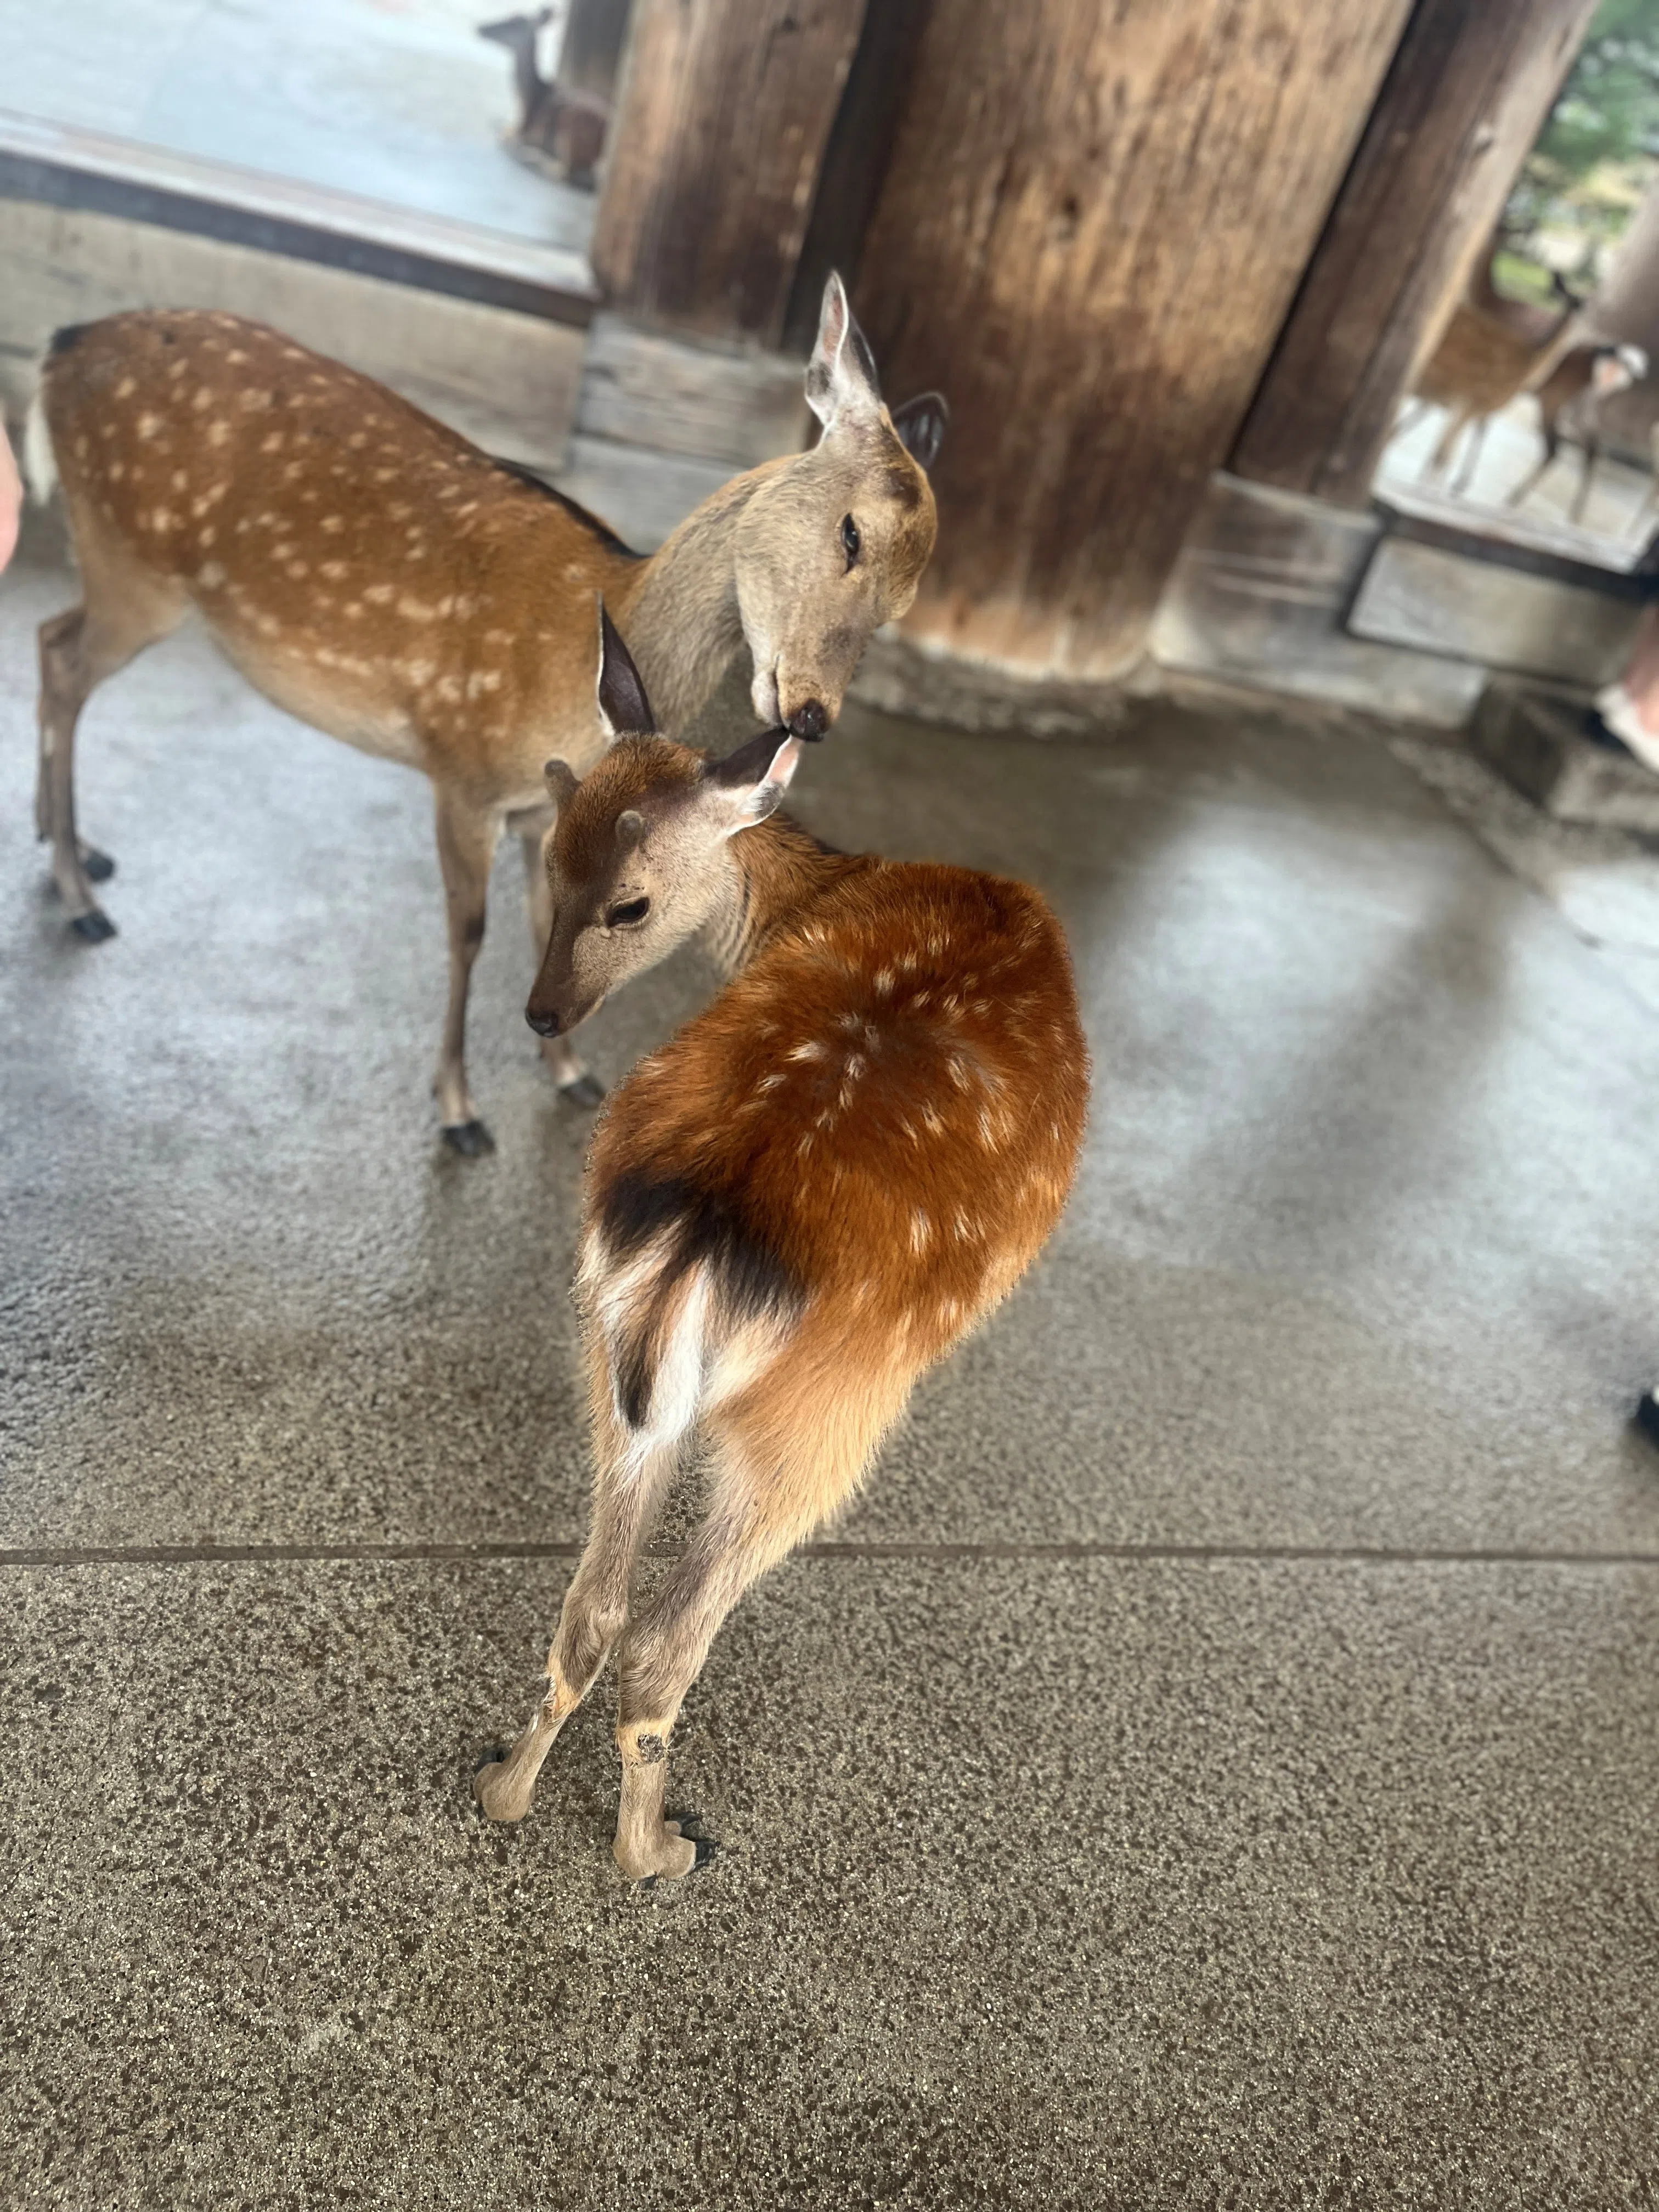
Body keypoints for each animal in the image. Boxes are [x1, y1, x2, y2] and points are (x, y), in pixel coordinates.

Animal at [26, 276, 947, 1154]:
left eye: (904, 602)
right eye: (852, 534)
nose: (812, 713)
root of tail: (58, 349)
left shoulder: (544, 809)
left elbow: (545, 919)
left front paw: (569, 1071)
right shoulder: (460, 769)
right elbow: (467, 932)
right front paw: (458, 1111)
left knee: (47, 635)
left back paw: (67, 848)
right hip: (133, 565)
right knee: (65, 660)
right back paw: (81, 898)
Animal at [472, 607, 1090, 1880]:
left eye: (625, 903)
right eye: (549, 868)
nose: (542, 1012)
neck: (824, 893)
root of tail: (702, 1241)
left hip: (609, 1355)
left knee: (591, 1611)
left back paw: (503, 1789)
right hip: (826, 1412)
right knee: (664, 1641)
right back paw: (660, 1850)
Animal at [477, 9, 609, 188]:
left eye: (513, 23)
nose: (481, 28)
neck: (526, 98)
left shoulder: (522, 128)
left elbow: (505, 135)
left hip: (571, 129)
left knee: (564, 173)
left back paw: (531, 157)